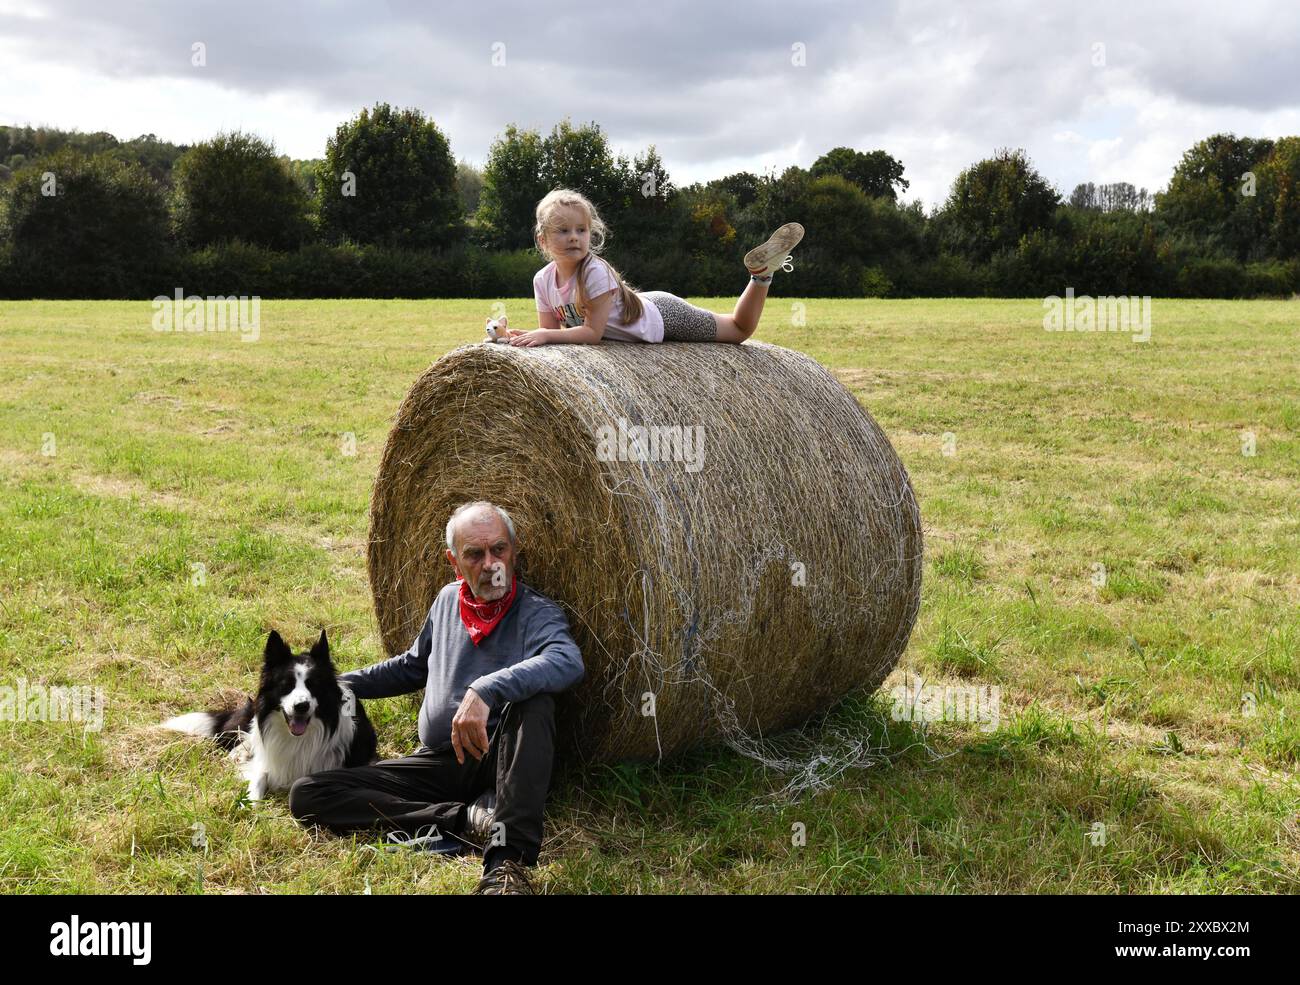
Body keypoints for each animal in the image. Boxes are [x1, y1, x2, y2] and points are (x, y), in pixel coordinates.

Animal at [162, 631, 377, 800]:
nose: (301, 706)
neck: (297, 738)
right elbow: (260, 774)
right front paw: (251, 801)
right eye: (286, 684)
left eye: (313, 685)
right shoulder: (266, 758)